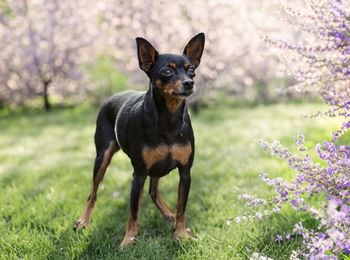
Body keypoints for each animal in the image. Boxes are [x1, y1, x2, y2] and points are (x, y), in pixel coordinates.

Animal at [74, 33, 205, 248]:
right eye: (167, 71)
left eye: (192, 70)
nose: (189, 83)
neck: (168, 119)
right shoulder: (139, 174)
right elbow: (133, 212)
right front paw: (128, 241)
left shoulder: (185, 173)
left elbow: (181, 208)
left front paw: (181, 234)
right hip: (103, 157)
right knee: (93, 192)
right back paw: (84, 220)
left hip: (157, 168)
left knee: (153, 192)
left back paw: (169, 215)